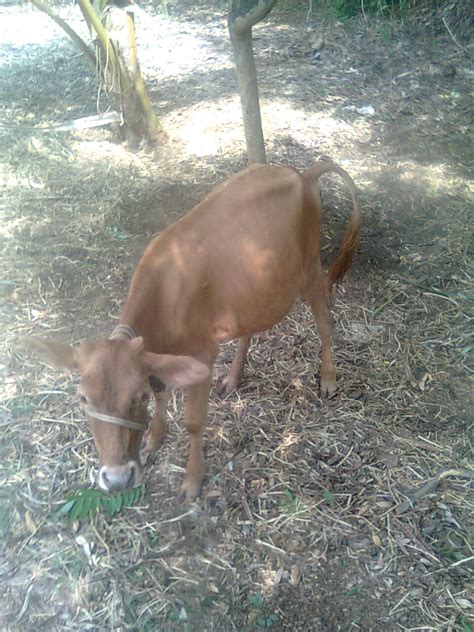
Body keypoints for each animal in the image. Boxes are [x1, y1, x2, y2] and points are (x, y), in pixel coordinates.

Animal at [24, 163, 362, 504]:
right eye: (82, 398)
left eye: (137, 396)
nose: (118, 479)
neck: (162, 300)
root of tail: (303, 173)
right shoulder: (157, 353)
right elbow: (162, 392)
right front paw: (154, 438)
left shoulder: (202, 354)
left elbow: (193, 423)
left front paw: (191, 482)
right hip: (254, 290)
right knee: (250, 329)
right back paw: (233, 377)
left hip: (310, 269)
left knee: (325, 322)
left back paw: (328, 378)